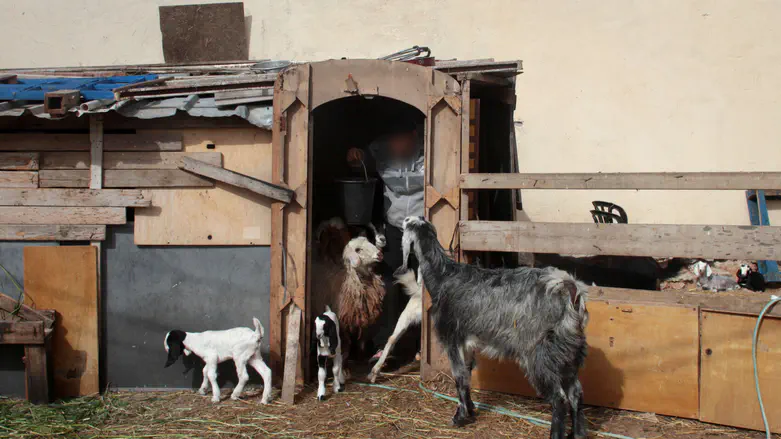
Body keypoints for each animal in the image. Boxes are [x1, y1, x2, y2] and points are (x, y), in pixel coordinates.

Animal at [399, 216, 589, 439]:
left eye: (406, 223)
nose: (403, 220)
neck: (443, 276)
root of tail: (569, 288)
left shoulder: (452, 337)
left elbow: (459, 377)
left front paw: (459, 417)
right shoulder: (467, 343)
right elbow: (467, 375)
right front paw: (471, 411)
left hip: (540, 354)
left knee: (559, 398)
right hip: (568, 352)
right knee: (575, 393)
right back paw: (577, 433)